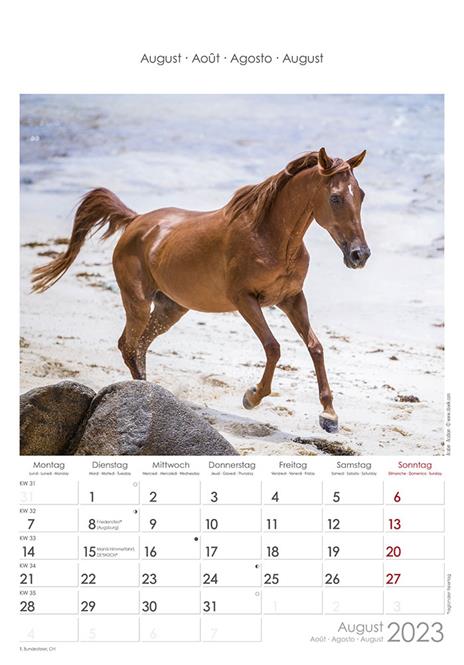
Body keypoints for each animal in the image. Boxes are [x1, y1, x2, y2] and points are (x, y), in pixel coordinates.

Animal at [31, 147, 370, 434]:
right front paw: (252, 397)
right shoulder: (245, 300)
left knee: (140, 345)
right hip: (137, 302)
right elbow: (273, 347)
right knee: (128, 345)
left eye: (362, 195)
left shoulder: (291, 299)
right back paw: (147, 396)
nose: (360, 255)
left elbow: (316, 347)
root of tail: (136, 221)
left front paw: (329, 415)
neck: (270, 237)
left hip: (170, 309)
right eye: (336, 198)